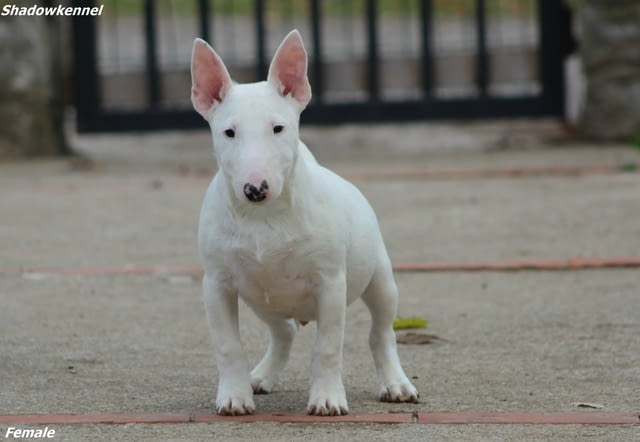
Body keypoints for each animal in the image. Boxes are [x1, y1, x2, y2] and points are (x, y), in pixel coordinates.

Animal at [190, 29, 420, 416]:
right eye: (229, 133)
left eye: (278, 128)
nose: (255, 189)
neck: (263, 216)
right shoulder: (217, 285)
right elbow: (227, 345)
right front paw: (234, 397)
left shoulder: (331, 283)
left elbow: (327, 346)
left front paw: (327, 399)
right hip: (262, 300)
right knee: (284, 332)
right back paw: (260, 377)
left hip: (380, 279)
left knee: (381, 332)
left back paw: (396, 384)